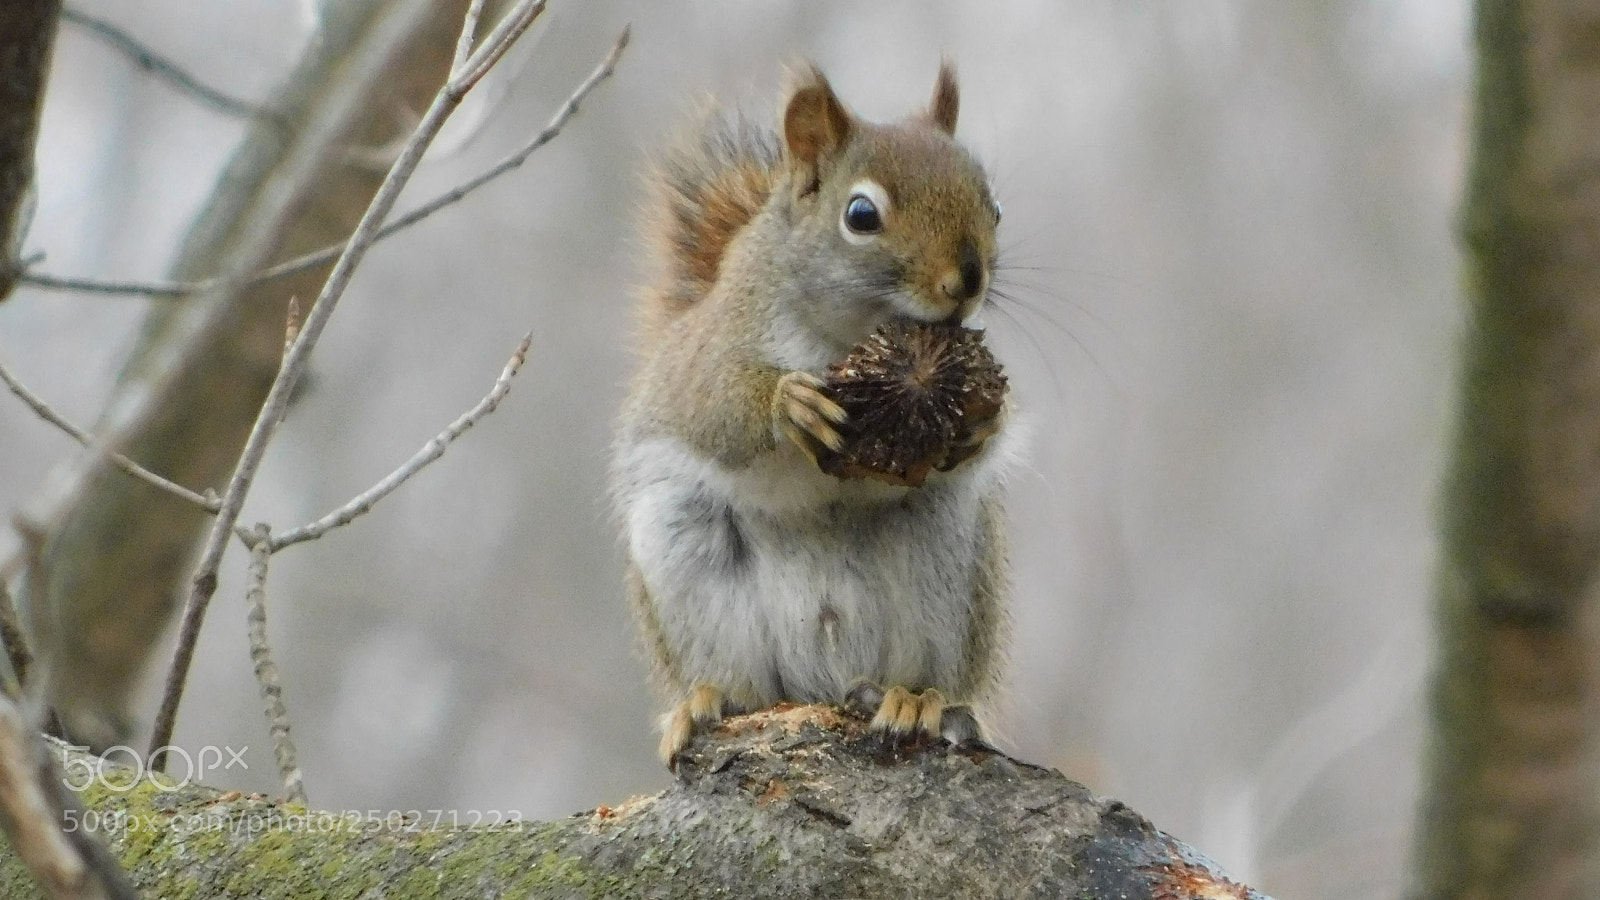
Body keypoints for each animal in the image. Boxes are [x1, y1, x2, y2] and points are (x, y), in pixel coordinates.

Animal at [612, 62, 1014, 765]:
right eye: (861, 215)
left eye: (994, 207)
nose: (968, 280)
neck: (848, 337)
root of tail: (823, 678)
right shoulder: (710, 350)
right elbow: (714, 405)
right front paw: (787, 404)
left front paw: (983, 422)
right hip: (683, 544)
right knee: (740, 681)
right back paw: (709, 699)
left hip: (947, 558)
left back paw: (916, 701)